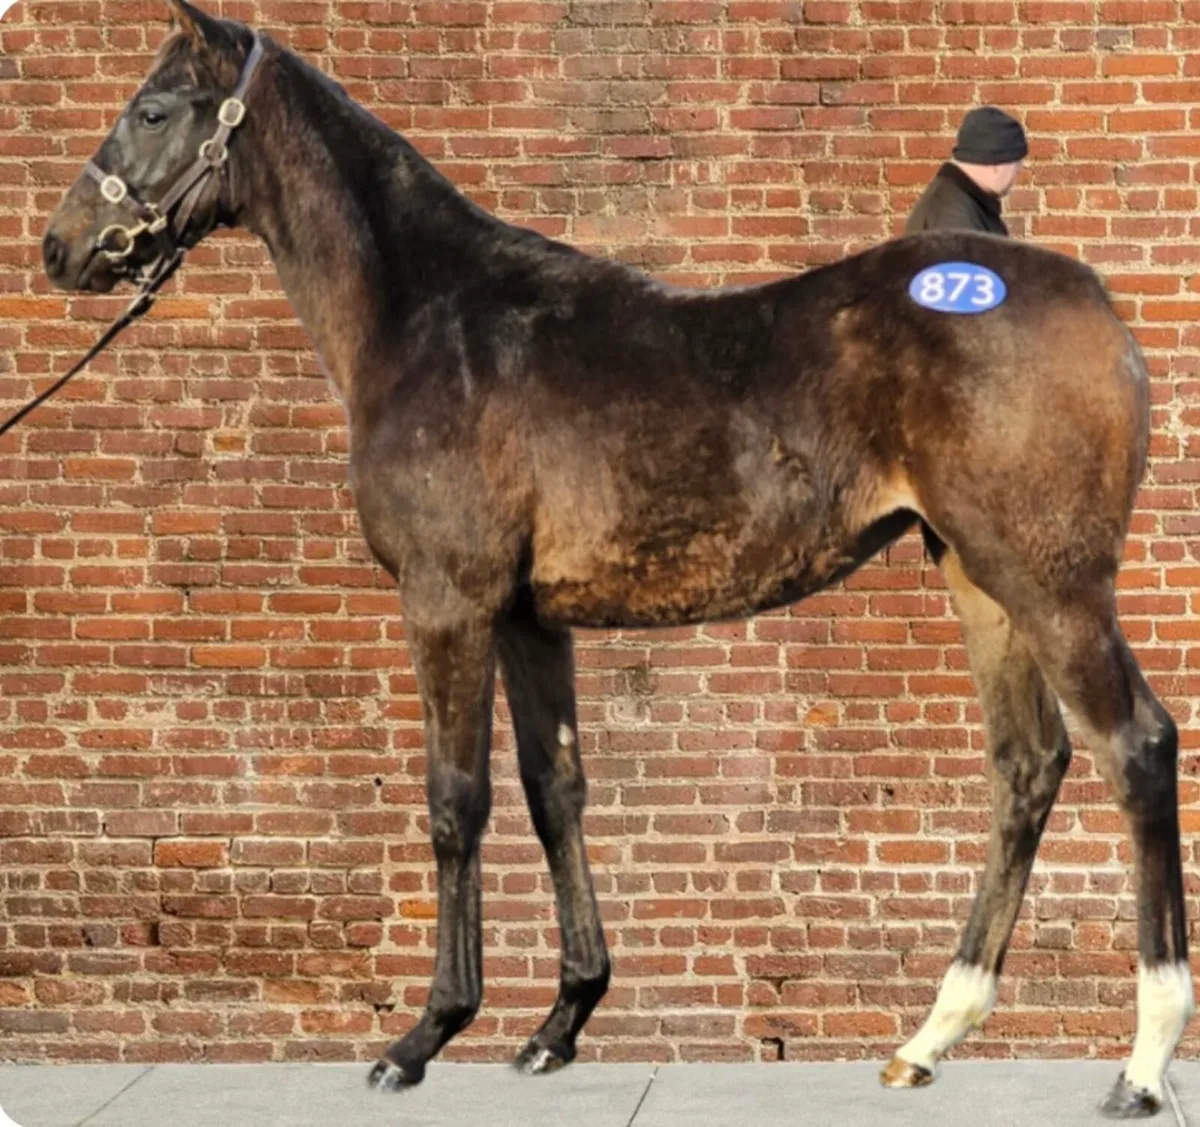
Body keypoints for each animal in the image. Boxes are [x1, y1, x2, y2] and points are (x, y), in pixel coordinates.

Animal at [40, 1, 1192, 1117]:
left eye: (153, 110)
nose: (60, 248)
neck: (434, 319)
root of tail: (1101, 309)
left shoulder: (448, 600)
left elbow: (456, 798)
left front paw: (423, 1036)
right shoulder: (527, 615)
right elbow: (556, 787)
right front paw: (559, 1023)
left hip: (1050, 582)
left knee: (1135, 746)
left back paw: (1139, 1065)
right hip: (976, 576)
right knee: (1027, 763)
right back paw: (927, 1039)